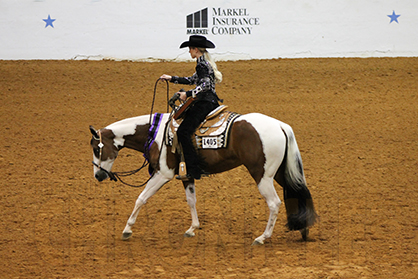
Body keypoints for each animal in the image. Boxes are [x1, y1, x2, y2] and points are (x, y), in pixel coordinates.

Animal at [89, 111, 316, 245]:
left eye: (96, 148)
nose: (98, 175)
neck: (156, 134)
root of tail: (280, 125)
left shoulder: (163, 174)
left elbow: (141, 198)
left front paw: (127, 229)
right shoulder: (186, 175)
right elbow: (191, 200)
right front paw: (192, 229)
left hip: (263, 175)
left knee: (274, 203)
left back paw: (262, 237)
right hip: (279, 172)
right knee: (297, 193)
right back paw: (304, 230)